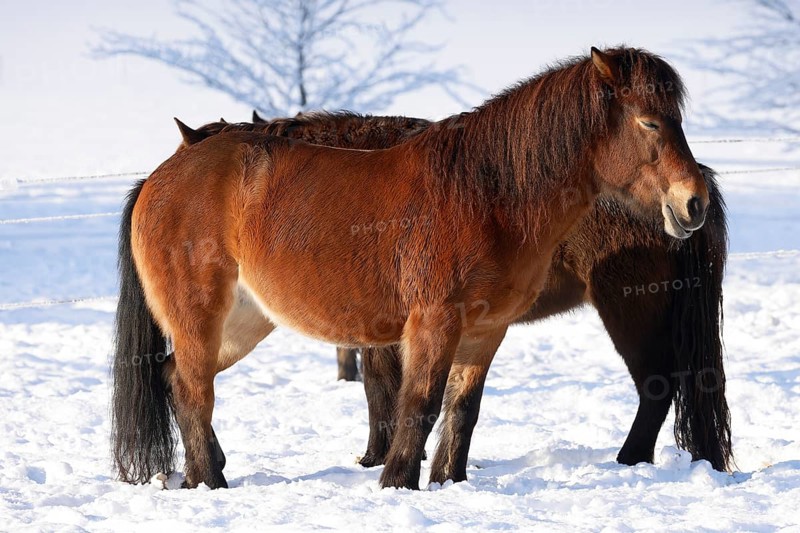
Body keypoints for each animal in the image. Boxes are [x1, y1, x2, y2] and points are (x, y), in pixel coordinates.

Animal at [112, 47, 711, 490]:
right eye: (650, 121)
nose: (692, 202)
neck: (490, 193)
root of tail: (160, 177)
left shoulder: (485, 329)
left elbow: (461, 409)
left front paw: (448, 481)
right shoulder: (431, 322)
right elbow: (416, 403)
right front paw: (397, 481)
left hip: (244, 321)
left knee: (178, 379)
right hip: (204, 318)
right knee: (192, 388)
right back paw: (210, 482)